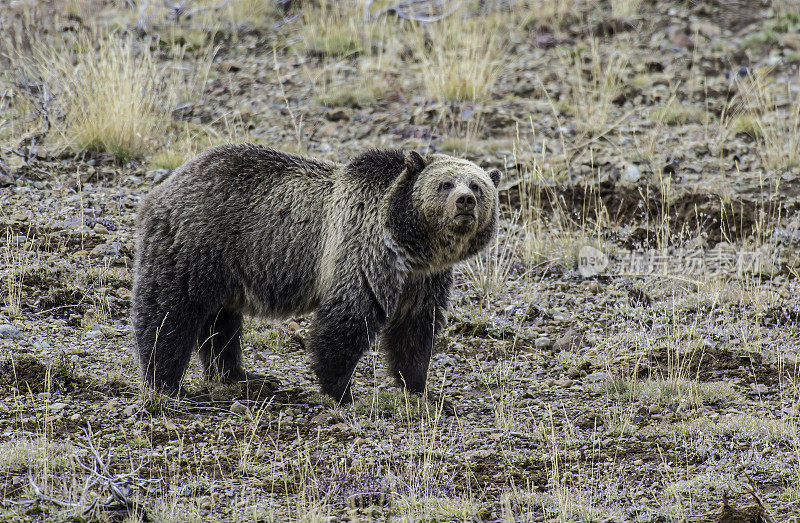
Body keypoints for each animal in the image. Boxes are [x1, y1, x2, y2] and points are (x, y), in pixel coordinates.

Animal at [133, 145, 500, 404]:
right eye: (445, 184)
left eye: (478, 185)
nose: (465, 201)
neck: (411, 245)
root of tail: (165, 186)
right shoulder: (363, 253)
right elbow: (346, 322)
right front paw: (342, 391)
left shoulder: (422, 280)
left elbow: (414, 330)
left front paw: (423, 388)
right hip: (195, 246)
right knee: (169, 315)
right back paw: (168, 384)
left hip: (226, 268)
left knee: (221, 323)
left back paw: (240, 375)